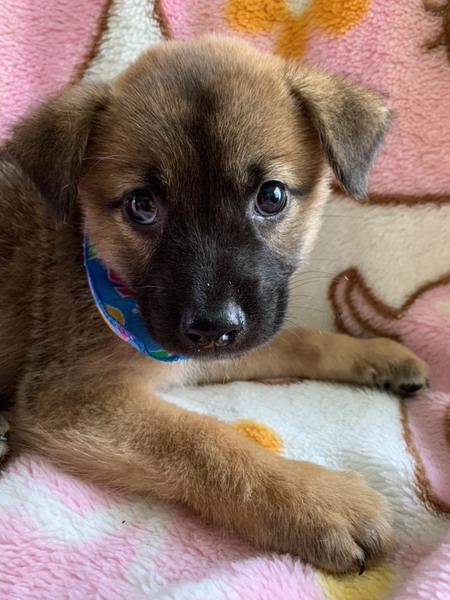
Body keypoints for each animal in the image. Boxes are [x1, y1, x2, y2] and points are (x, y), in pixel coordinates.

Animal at [0, 35, 429, 573]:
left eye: (272, 196)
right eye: (142, 204)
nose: (211, 327)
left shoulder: (201, 352)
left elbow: (299, 339)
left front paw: (373, 353)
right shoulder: (69, 399)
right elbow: (205, 442)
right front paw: (317, 501)